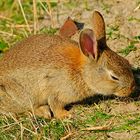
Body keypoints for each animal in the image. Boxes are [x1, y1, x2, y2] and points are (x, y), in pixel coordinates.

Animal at [0, 10, 136, 119]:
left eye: (126, 61)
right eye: (114, 77)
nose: (132, 88)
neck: (82, 72)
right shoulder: (57, 90)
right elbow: (55, 104)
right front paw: (66, 115)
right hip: (22, 94)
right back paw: (44, 112)